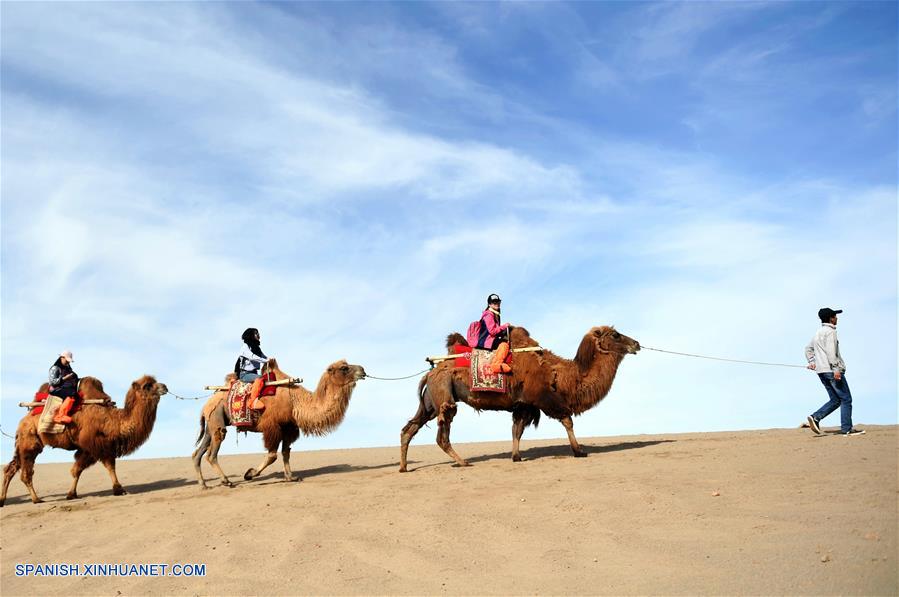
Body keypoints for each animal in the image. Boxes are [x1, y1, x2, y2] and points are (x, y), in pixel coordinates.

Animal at [1, 374, 169, 506]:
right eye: (147, 386)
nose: (165, 386)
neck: (114, 421)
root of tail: (24, 419)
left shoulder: (89, 448)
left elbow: (77, 470)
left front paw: (71, 494)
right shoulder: (97, 445)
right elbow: (108, 466)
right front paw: (119, 489)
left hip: (23, 443)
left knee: (11, 468)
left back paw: (3, 501)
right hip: (29, 442)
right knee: (26, 472)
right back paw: (36, 499)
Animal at [192, 358, 366, 488]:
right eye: (344, 368)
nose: (363, 369)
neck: (295, 402)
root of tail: (206, 405)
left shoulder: (289, 427)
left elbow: (286, 453)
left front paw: (290, 477)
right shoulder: (272, 426)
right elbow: (272, 455)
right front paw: (250, 473)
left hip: (211, 424)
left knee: (198, 452)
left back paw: (203, 485)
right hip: (216, 417)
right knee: (212, 452)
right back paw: (226, 481)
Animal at [400, 326, 640, 470]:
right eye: (616, 334)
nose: (636, 343)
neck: (558, 373)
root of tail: (431, 372)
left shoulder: (523, 404)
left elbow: (517, 430)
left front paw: (516, 456)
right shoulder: (544, 398)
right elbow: (567, 420)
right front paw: (579, 451)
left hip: (431, 402)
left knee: (409, 429)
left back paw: (404, 467)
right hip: (444, 397)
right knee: (442, 435)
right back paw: (463, 462)